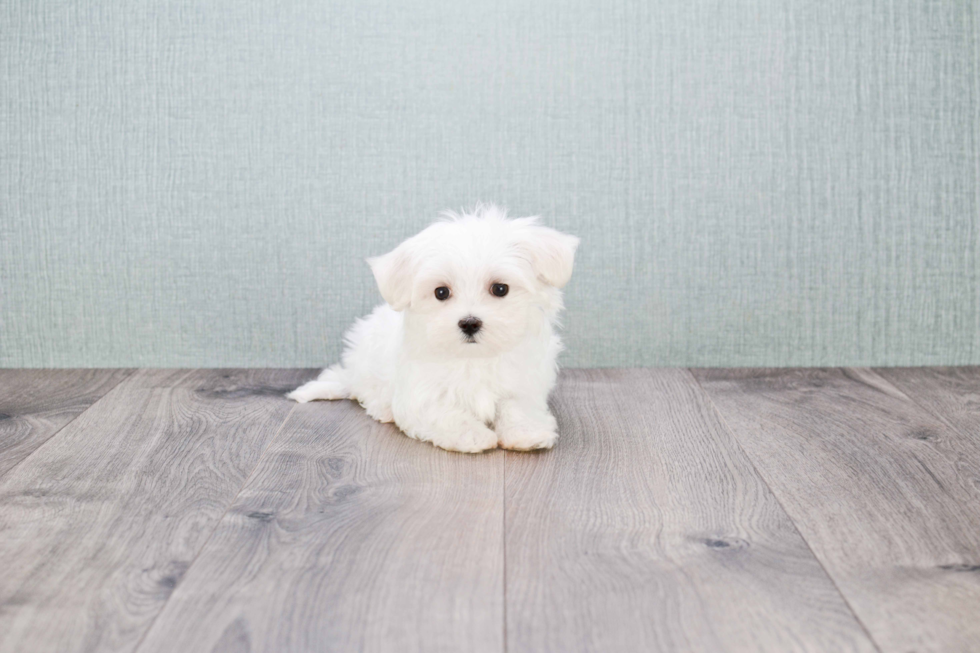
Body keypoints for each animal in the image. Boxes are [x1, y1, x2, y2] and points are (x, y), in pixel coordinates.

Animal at [288, 206, 580, 450]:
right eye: (441, 292)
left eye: (500, 289)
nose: (469, 323)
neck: (473, 358)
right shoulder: (420, 393)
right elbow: (443, 413)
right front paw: (473, 435)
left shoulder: (523, 382)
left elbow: (518, 406)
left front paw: (526, 433)